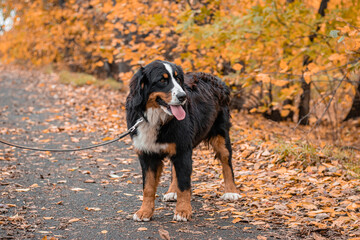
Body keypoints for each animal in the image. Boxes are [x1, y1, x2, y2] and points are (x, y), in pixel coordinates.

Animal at [125, 59, 240, 221]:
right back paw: (172, 192)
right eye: (162, 80)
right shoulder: (147, 154)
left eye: (178, 79)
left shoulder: (183, 150)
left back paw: (231, 191)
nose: (183, 96)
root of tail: (216, 79)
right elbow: (148, 187)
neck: (156, 118)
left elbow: (184, 185)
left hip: (221, 136)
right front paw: (145, 212)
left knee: (226, 162)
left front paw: (183, 211)